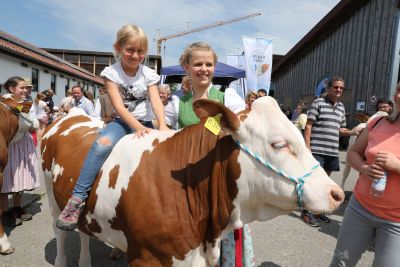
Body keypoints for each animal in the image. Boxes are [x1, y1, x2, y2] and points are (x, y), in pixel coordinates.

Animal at [42, 98, 346, 267]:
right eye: (279, 144)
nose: (337, 194)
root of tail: (71, 115)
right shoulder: (147, 257)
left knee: (84, 233)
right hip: (53, 199)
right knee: (60, 232)